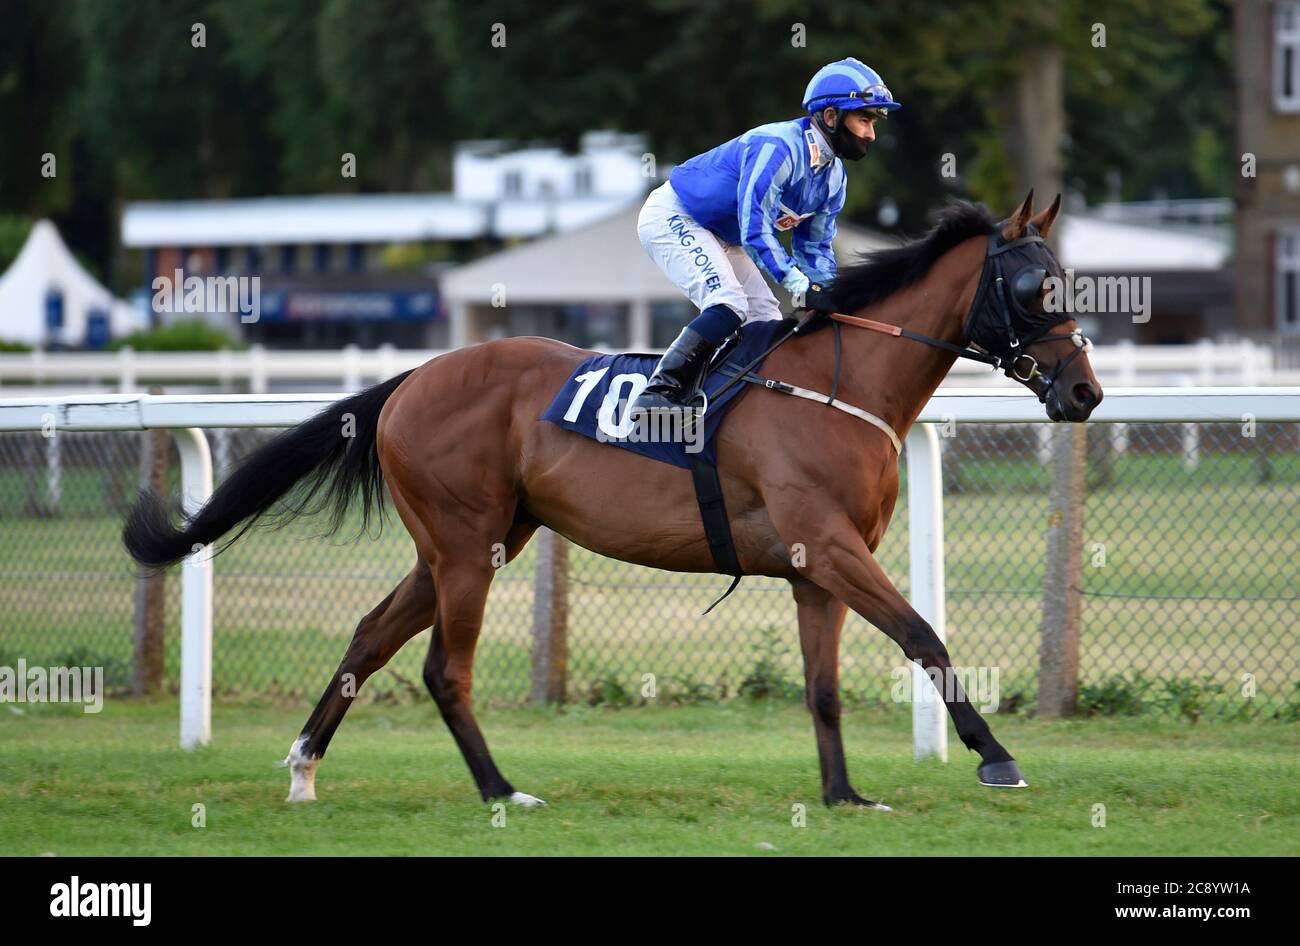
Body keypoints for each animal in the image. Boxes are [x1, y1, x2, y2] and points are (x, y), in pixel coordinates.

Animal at [122, 192, 1102, 810]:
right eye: (1034, 286)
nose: (1085, 392)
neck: (840, 382)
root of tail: (410, 380)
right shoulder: (829, 546)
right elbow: (924, 636)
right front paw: (997, 759)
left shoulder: (813, 567)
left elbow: (823, 688)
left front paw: (843, 794)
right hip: (466, 543)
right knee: (445, 668)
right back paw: (500, 789)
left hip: (473, 540)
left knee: (371, 635)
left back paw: (303, 769)